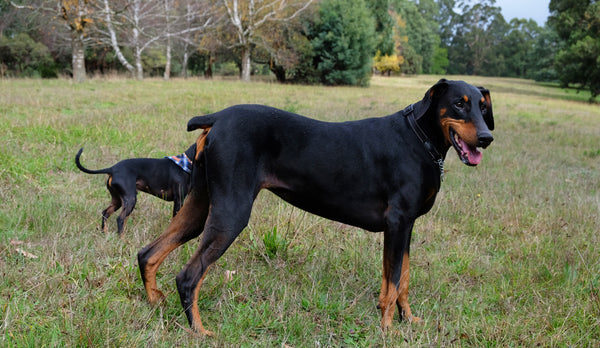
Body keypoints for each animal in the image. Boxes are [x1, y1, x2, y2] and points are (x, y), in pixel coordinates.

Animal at [138, 79, 494, 334]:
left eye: (481, 106)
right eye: (458, 105)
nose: (486, 138)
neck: (419, 139)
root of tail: (215, 119)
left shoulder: (404, 228)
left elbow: (402, 279)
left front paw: (408, 320)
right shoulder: (398, 222)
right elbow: (393, 283)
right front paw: (389, 330)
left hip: (201, 205)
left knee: (148, 253)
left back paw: (155, 303)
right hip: (231, 213)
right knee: (188, 276)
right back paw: (200, 331)